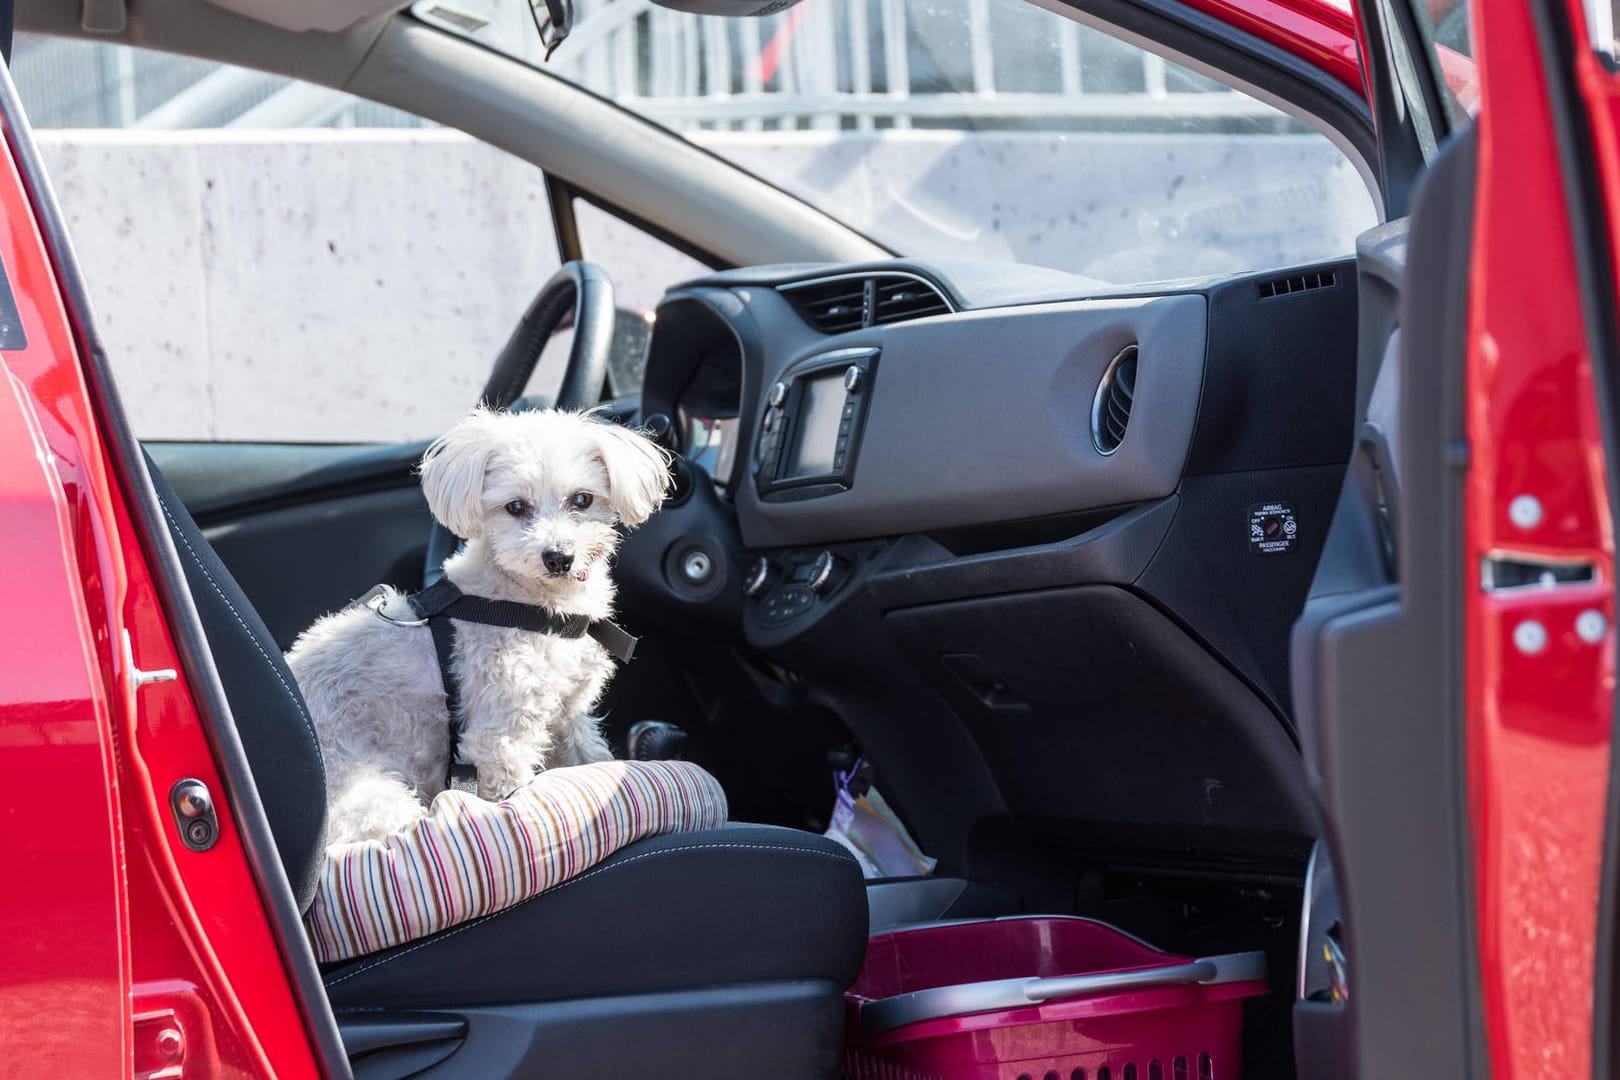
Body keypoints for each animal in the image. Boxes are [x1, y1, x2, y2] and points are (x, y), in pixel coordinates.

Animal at [288, 409, 667, 848]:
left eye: (582, 499)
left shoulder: (567, 714)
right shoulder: (498, 738)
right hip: (375, 803)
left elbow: (591, 757)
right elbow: (510, 785)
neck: (528, 606)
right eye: (515, 506)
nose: (559, 557)